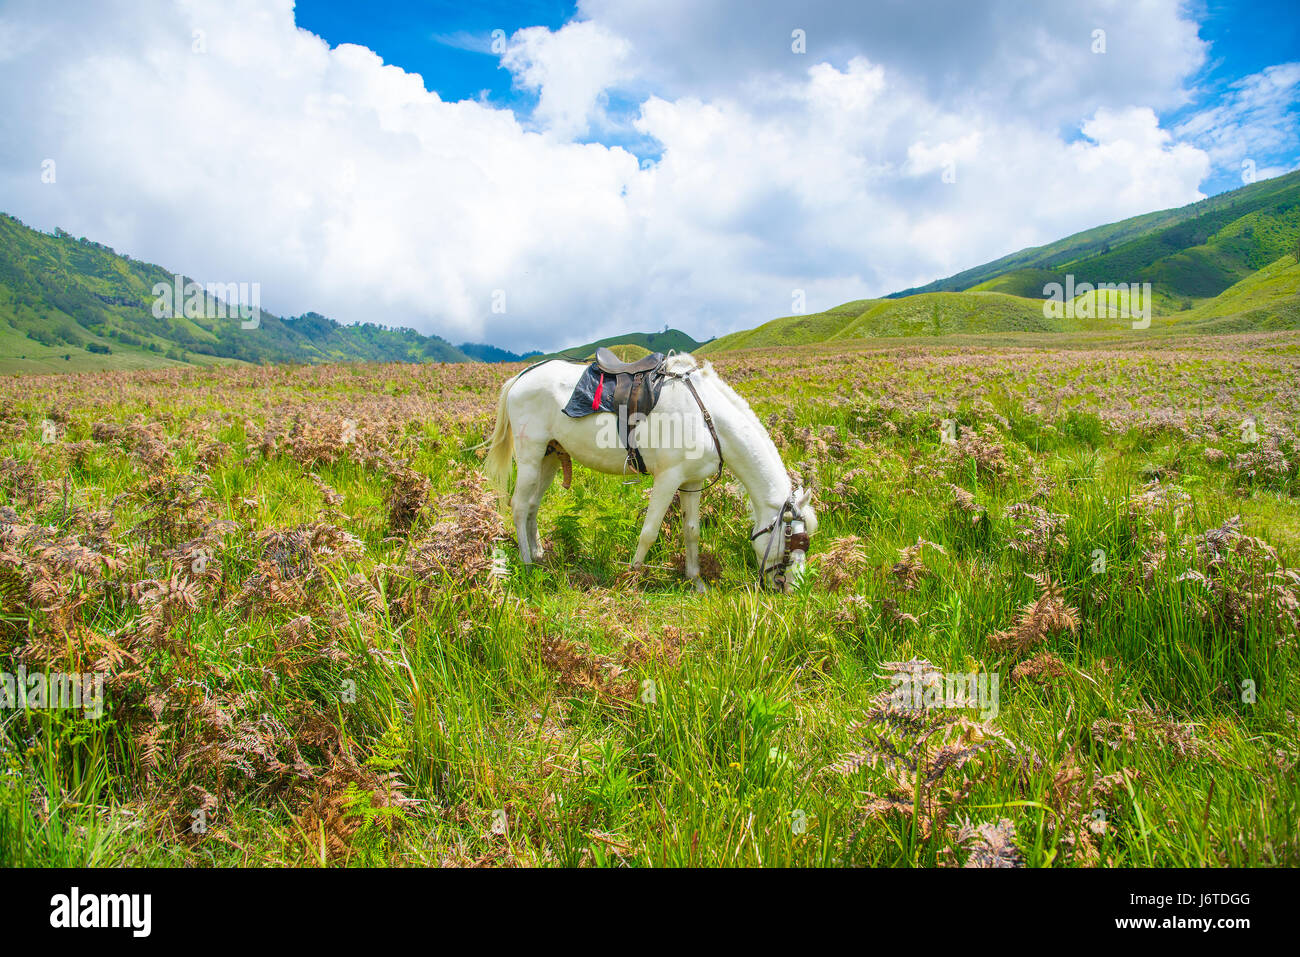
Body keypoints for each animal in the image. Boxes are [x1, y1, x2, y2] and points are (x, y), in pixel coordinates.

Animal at [483, 351, 816, 590]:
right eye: (794, 541)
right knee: (519, 506)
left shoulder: (692, 482)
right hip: (530, 457)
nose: (794, 591)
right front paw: (632, 578)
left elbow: (691, 531)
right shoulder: (668, 479)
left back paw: (539, 554)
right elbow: (649, 532)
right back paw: (527, 563)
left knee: (533, 506)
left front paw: (696, 581)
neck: (708, 418)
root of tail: (522, 377)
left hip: (550, 457)